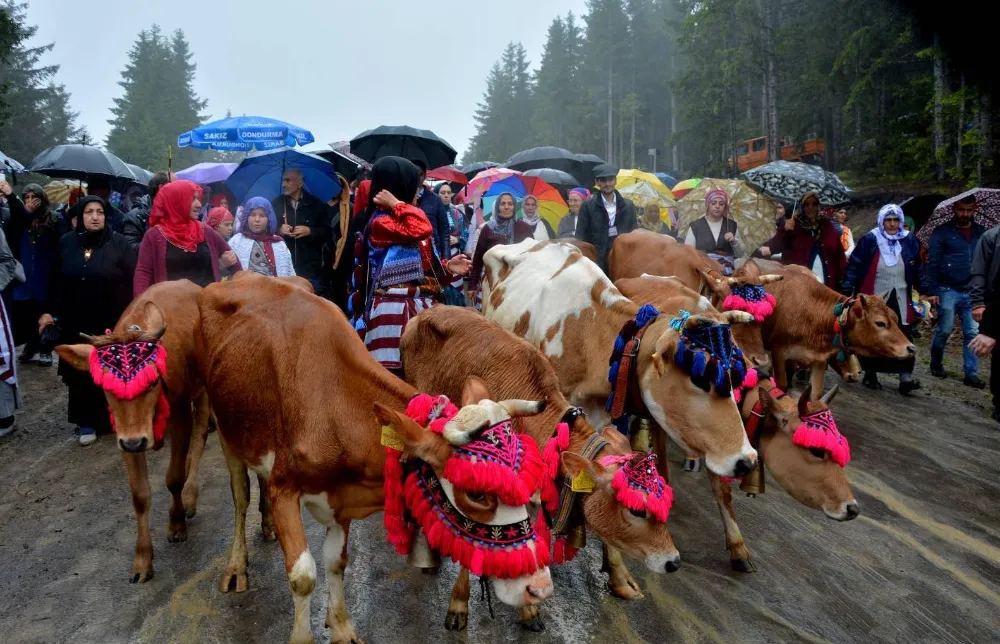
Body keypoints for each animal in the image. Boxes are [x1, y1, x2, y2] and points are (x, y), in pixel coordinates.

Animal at [55, 280, 213, 584]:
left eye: (152, 382)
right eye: (105, 386)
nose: (136, 442)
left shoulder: (179, 415)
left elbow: (173, 478)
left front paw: (176, 524)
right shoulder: (125, 435)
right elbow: (139, 495)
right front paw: (142, 561)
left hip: (202, 391)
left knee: (200, 434)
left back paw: (190, 495)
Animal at [195, 274, 556, 640]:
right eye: (476, 493)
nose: (539, 588)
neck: (334, 403)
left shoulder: (339, 496)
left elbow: (336, 562)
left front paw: (340, 627)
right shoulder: (285, 486)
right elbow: (303, 576)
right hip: (224, 427)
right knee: (240, 498)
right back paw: (236, 566)